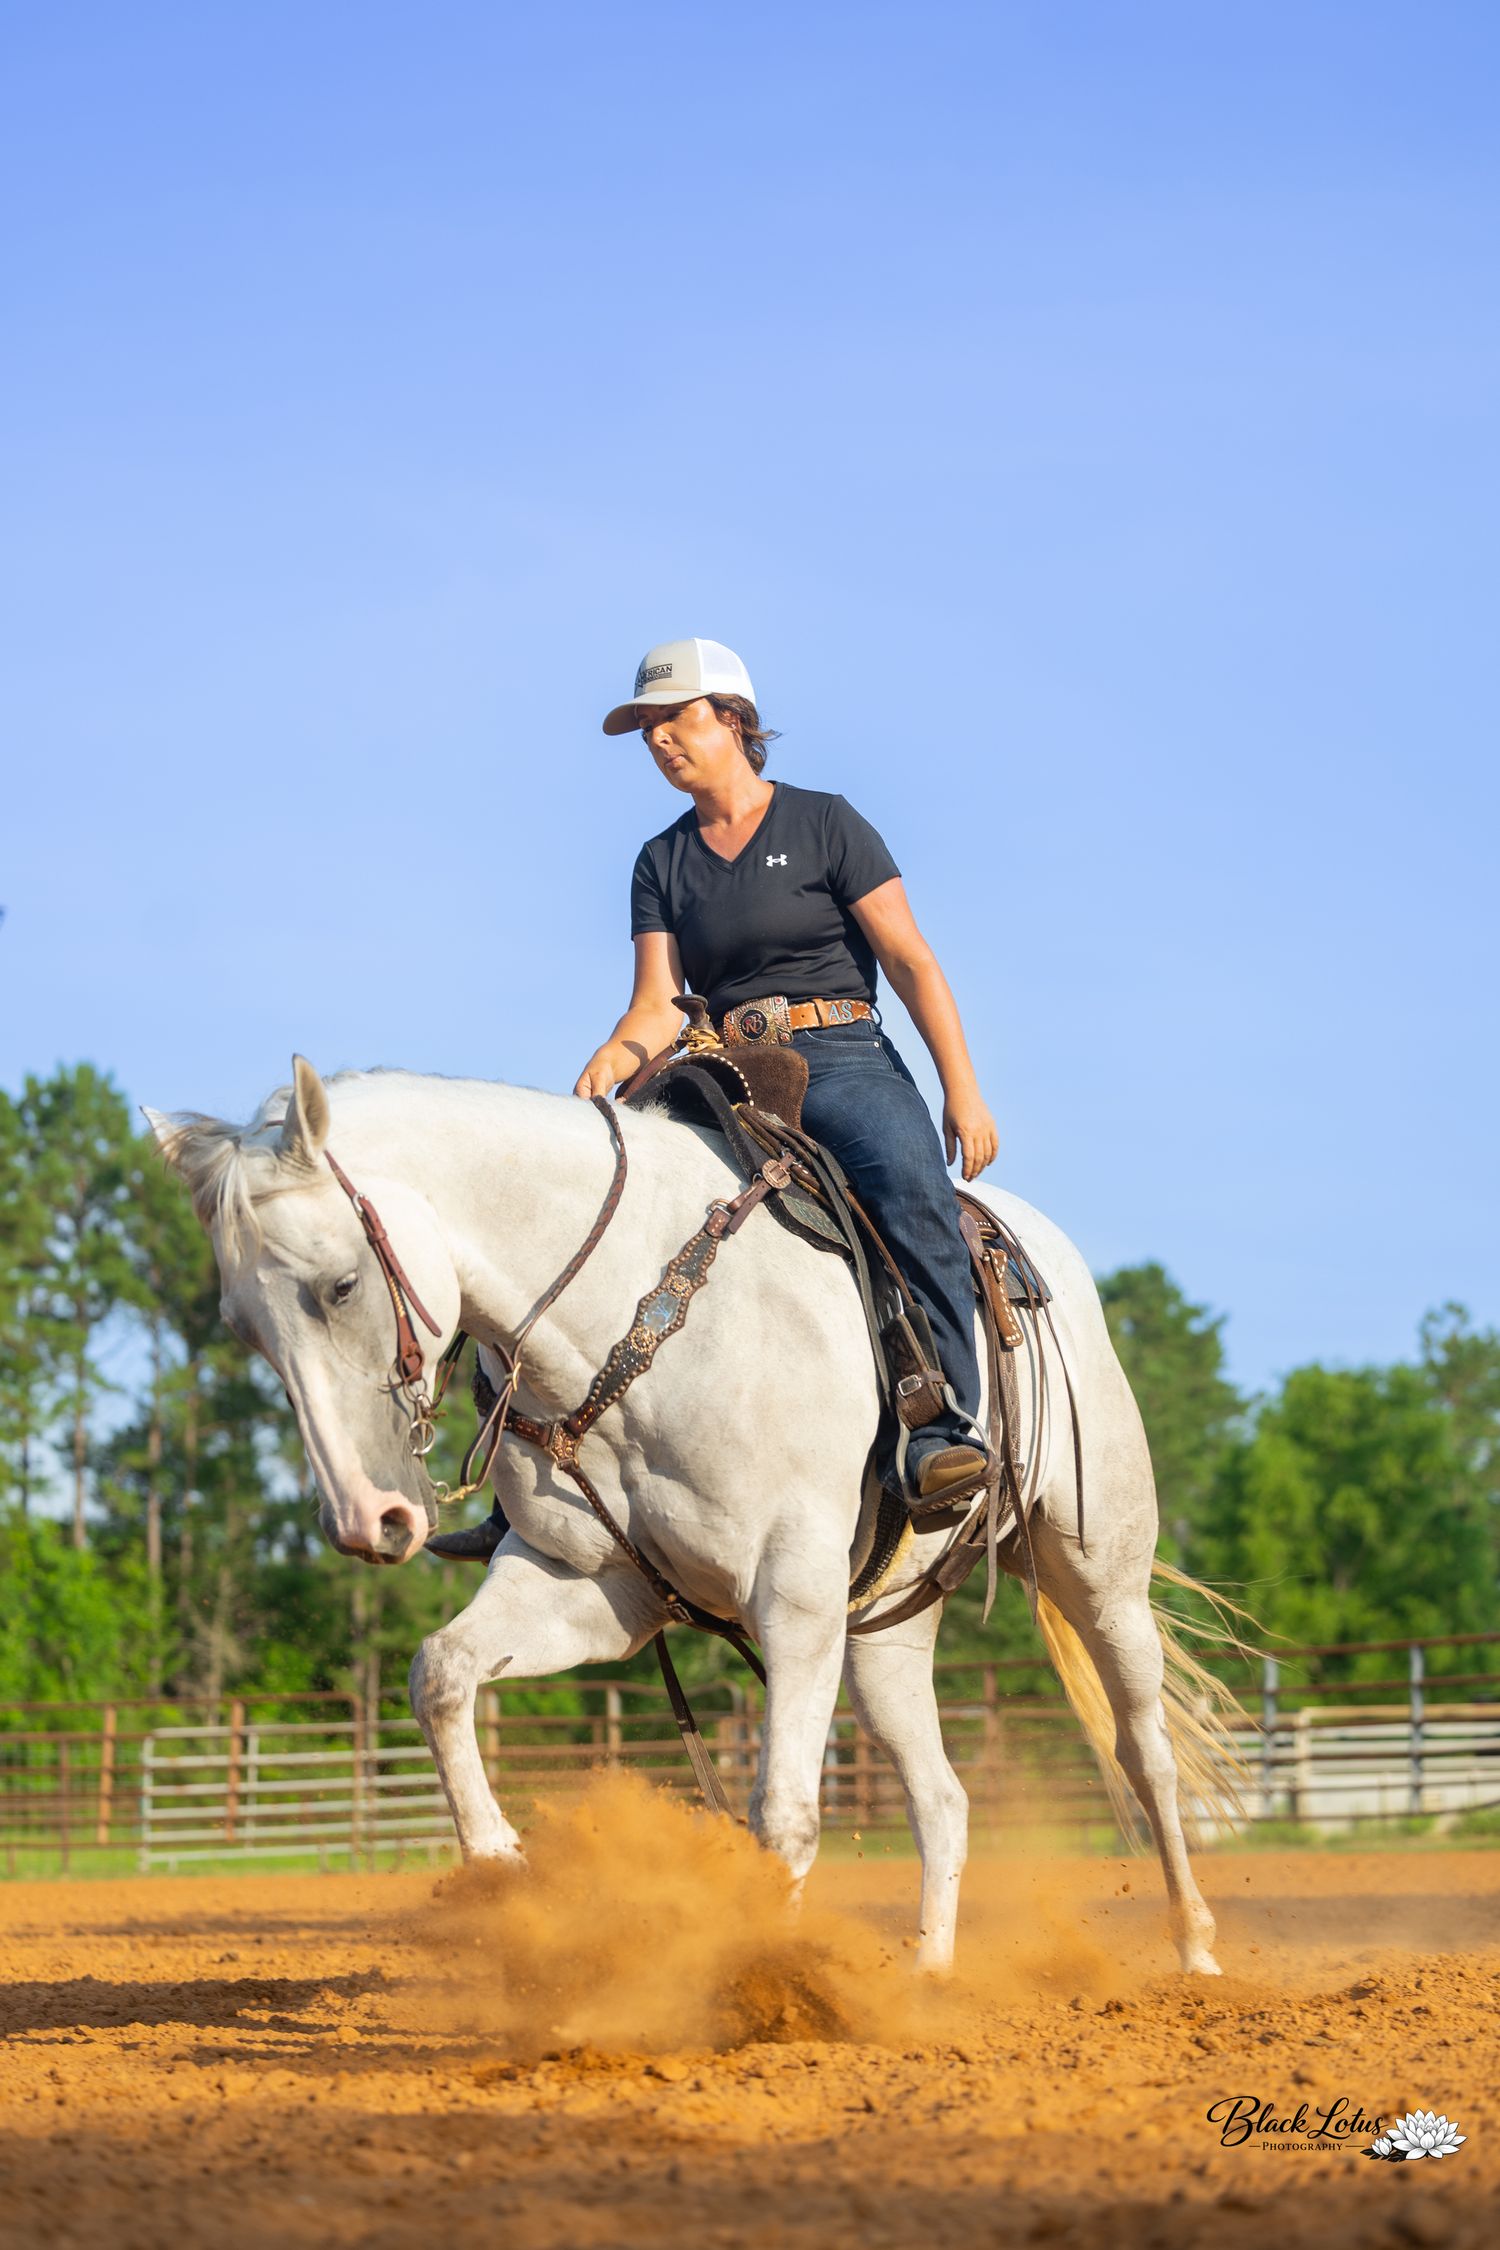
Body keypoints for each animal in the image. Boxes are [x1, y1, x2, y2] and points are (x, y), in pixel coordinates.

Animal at [146, 1055, 1241, 1975]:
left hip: (1097, 1572)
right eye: (241, 1327)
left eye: (339, 1286)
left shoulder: (792, 1595)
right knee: (942, 1797)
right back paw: (929, 1979)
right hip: (882, 1631)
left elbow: (784, 1818)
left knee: (1145, 1752)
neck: (631, 1321)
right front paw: (498, 1862)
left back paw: (1195, 1951)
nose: (364, 1520)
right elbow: (442, 1672)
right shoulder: (596, 1588)